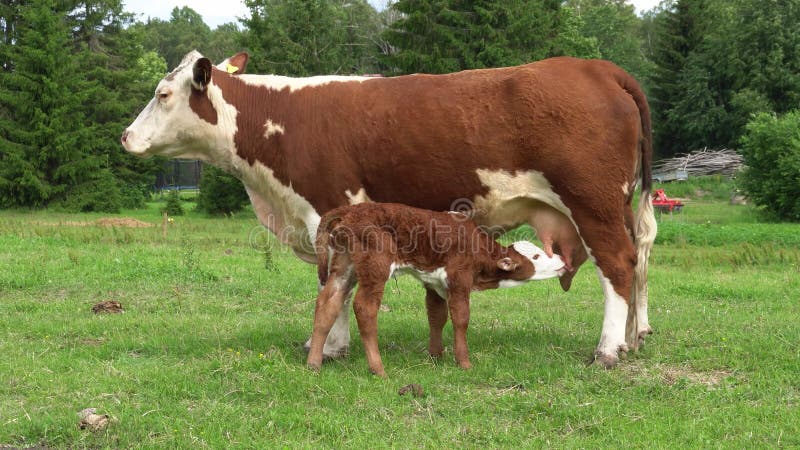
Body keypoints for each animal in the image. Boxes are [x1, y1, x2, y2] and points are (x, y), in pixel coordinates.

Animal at [304, 201, 564, 376]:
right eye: (537, 256)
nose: (562, 260)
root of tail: (350, 210)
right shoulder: (459, 279)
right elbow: (461, 318)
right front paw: (464, 362)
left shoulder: (434, 283)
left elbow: (437, 316)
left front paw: (436, 355)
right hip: (376, 266)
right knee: (364, 307)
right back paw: (378, 368)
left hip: (344, 265)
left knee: (328, 302)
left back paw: (314, 363)